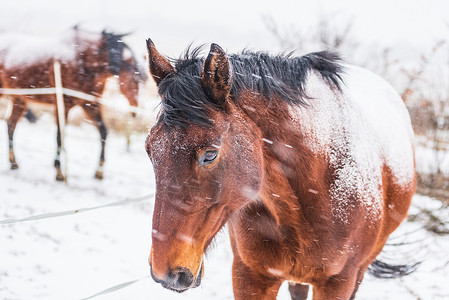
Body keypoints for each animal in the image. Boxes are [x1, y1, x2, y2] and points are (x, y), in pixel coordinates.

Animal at [0, 27, 144, 180]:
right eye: (135, 78)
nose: (135, 109)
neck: (81, 60)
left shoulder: (90, 105)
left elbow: (104, 132)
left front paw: (99, 171)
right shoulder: (62, 105)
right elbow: (59, 135)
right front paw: (59, 172)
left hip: (19, 100)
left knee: (10, 125)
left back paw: (13, 163)